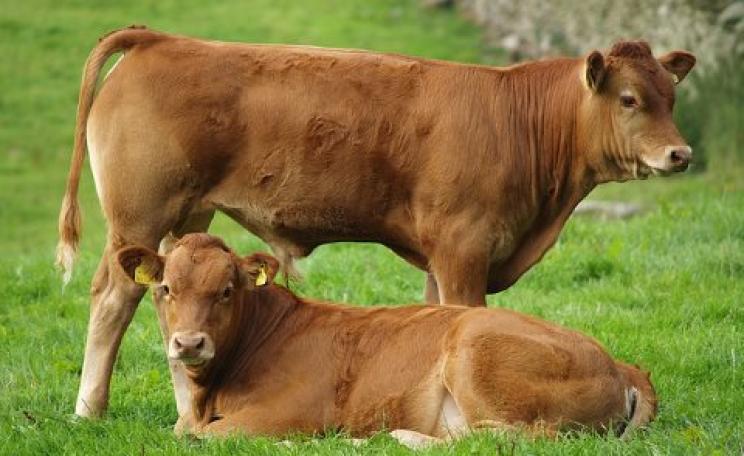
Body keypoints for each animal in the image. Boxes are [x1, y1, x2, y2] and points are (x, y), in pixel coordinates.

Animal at [56, 26, 694, 417]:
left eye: (671, 97)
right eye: (630, 99)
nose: (680, 154)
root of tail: (162, 38)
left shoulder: (441, 255)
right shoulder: (464, 248)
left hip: (185, 217)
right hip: (140, 214)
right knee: (113, 298)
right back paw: (88, 410)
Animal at [116, 233, 657, 448]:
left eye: (226, 290)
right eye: (165, 289)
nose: (189, 344)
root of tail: (623, 364)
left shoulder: (286, 413)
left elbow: (201, 436)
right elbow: (180, 431)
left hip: (474, 350)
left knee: (507, 437)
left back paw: (393, 437)